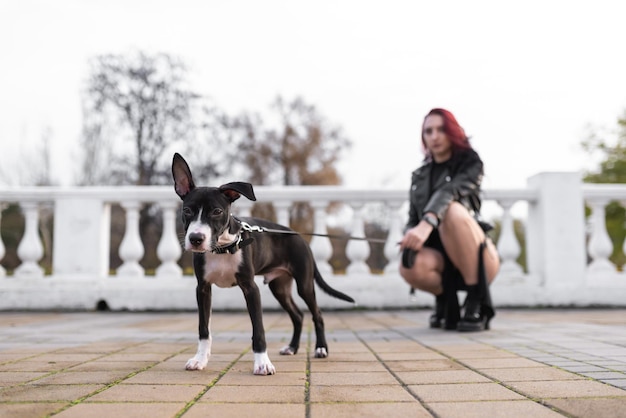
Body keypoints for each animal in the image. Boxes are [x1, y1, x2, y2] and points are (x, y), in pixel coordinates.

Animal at [171, 153, 354, 376]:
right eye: (187, 210)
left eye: (217, 211)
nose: (196, 239)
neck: (223, 247)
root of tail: (299, 237)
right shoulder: (203, 289)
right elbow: (203, 328)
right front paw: (200, 360)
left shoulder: (251, 289)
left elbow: (258, 330)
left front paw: (262, 363)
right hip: (280, 287)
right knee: (298, 315)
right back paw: (292, 347)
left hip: (304, 284)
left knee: (316, 314)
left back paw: (321, 348)